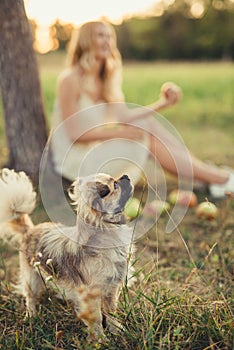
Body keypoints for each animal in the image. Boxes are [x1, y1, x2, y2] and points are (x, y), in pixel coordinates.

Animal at [0, 168, 133, 340]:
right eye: (115, 185)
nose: (126, 176)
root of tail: (31, 230)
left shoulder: (111, 288)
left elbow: (111, 311)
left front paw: (117, 330)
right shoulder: (91, 294)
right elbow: (96, 317)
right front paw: (100, 339)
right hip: (32, 278)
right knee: (30, 298)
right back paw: (31, 316)